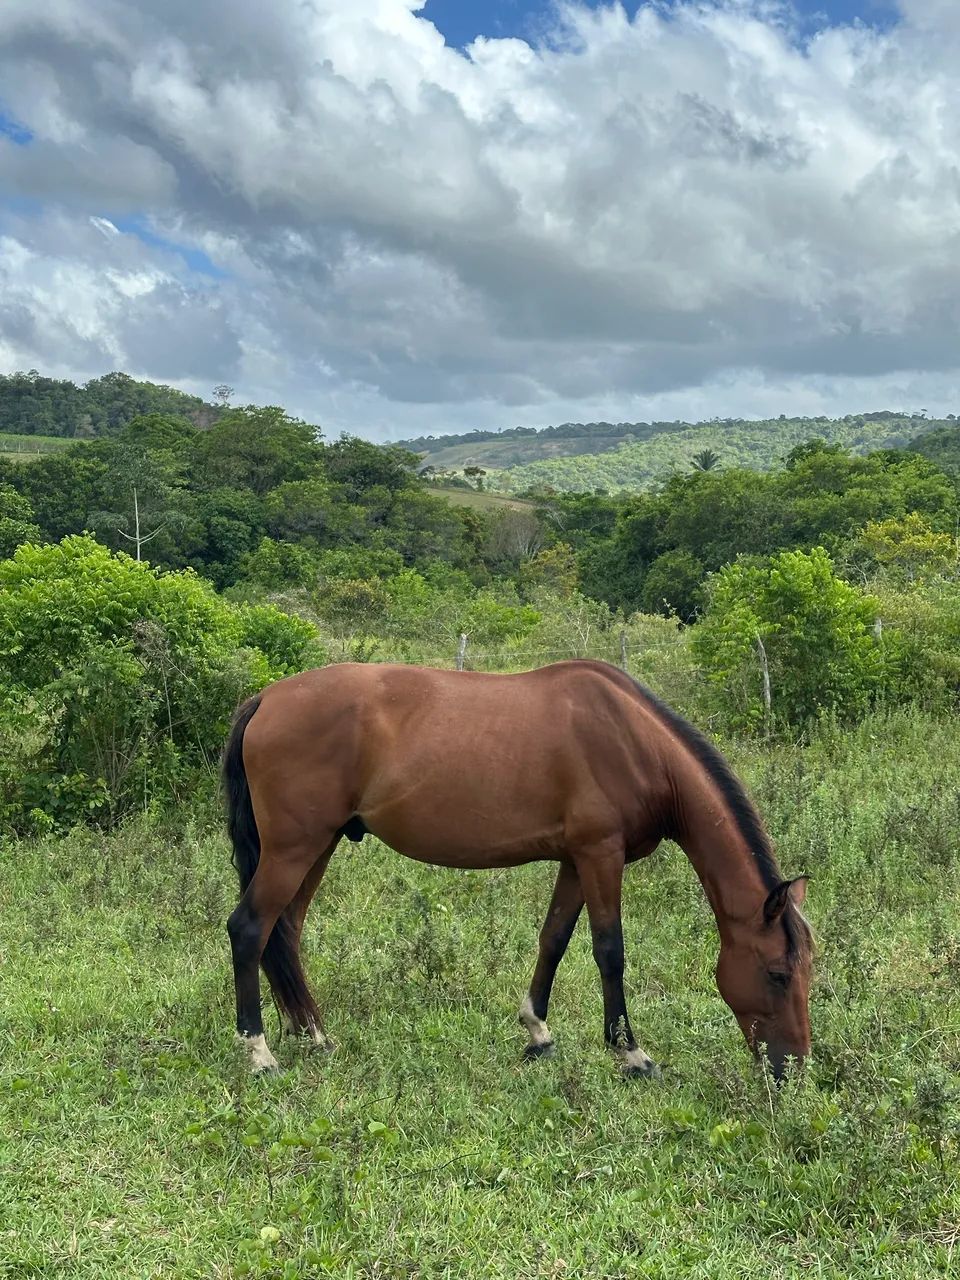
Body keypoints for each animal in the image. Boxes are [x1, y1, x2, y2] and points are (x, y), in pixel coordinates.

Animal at [222, 660, 811, 1080]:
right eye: (777, 973)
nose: (794, 1069)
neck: (632, 741)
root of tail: (266, 698)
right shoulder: (601, 854)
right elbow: (610, 950)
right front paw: (631, 1054)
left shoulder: (575, 859)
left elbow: (554, 939)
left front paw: (538, 1033)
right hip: (293, 849)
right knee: (249, 929)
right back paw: (260, 1053)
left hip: (315, 847)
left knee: (285, 932)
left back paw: (312, 1035)